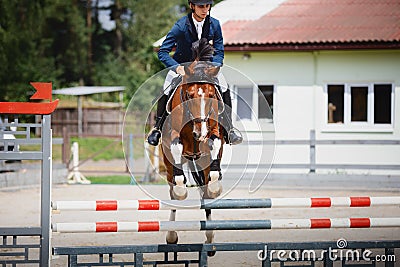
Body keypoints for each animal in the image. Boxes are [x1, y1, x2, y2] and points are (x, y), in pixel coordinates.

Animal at [161, 38, 227, 252]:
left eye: (211, 94)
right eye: (189, 95)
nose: (200, 133)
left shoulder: (215, 132)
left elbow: (215, 142)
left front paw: (215, 186)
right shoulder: (171, 137)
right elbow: (176, 146)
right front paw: (181, 189)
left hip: (199, 161)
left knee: (205, 193)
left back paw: (210, 239)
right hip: (170, 164)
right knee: (173, 192)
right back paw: (171, 235)